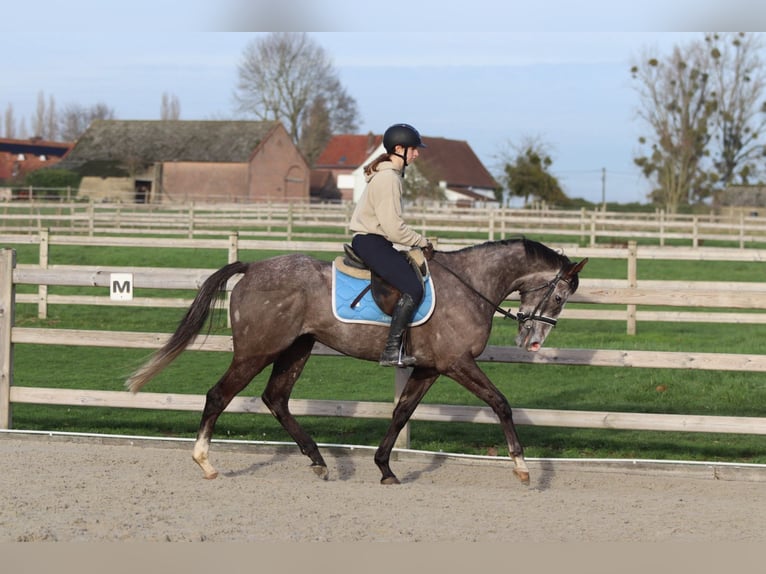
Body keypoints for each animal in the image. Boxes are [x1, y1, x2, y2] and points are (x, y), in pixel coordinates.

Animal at [126, 237, 587, 485]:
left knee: (276, 399)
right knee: (218, 395)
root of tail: (253, 267)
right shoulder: (455, 363)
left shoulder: (429, 367)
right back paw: (205, 462)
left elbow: (402, 413)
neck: (471, 285)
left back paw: (318, 460)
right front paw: (523, 469)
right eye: (560, 297)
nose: (531, 340)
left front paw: (384, 467)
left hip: (297, 349)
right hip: (258, 350)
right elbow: (501, 404)